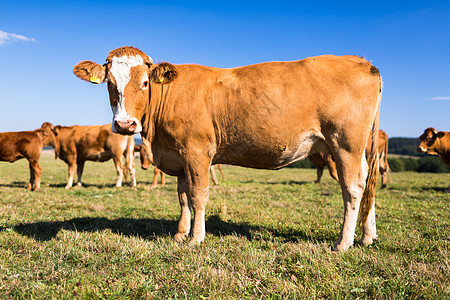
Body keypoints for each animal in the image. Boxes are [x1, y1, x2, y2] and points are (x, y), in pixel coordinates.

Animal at [74, 45, 384, 251]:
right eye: (109, 83)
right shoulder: (180, 156)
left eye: (145, 82)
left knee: (352, 190)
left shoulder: (197, 151)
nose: (125, 124)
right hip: (357, 149)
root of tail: (361, 61)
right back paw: (368, 236)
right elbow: (183, 197)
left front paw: (196, 238)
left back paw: (343, 242)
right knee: (366, 184)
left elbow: (198, 195)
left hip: (344, 143)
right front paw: (180, 233)